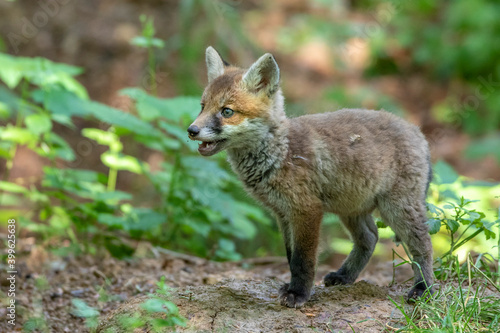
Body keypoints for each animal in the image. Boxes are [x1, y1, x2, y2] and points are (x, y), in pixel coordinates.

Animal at [188, 46, 434, 306]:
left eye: (227, 111)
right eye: (202, 106)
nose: (191, 130)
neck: (280, 153)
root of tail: (417, 131)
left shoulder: (307, 210)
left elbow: (302, 260)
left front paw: (298, 293)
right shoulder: (283, 213)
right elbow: (289, 257)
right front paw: (292, 287)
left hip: (396, 208)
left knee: (423, 245)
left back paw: (423, 288)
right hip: (351, 208)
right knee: (370, 237)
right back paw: (345, 276)